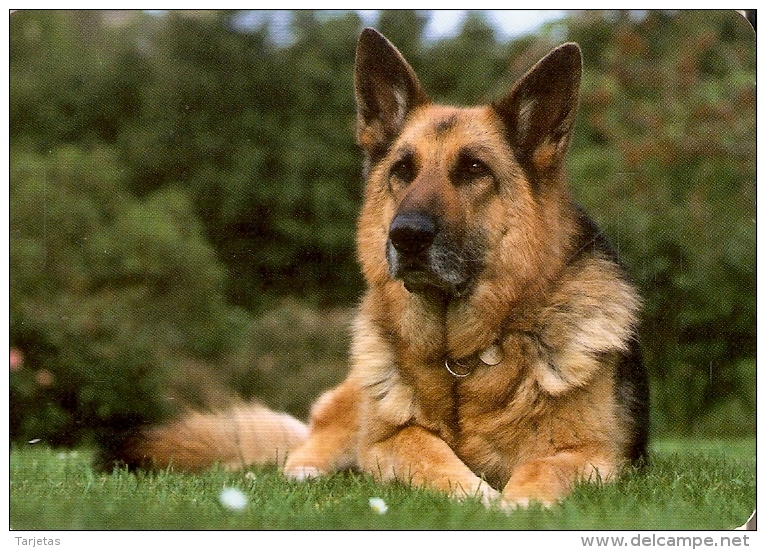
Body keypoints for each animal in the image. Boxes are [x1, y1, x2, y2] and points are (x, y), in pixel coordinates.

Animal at [103, 28, 656, 512]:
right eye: (402, 171)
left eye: (474, 169)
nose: (406, 235)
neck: (463, 359)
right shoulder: (391, 440)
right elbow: (431, 456)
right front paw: (477, 497)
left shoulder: (591, 454)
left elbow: (544, 469)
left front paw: (517, 504)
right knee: (303, 453)